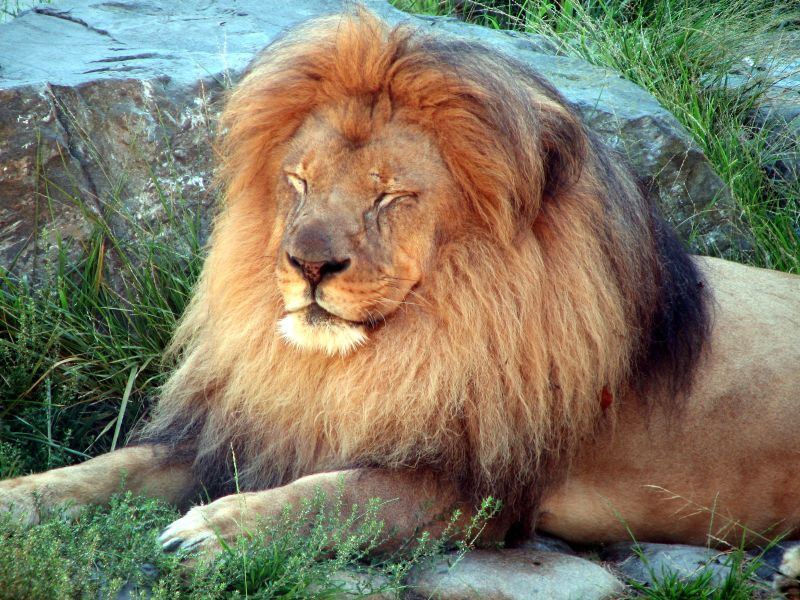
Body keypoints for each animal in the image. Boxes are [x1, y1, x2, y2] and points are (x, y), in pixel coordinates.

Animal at [1, 9, 800, 560]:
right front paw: (17, 498)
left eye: (389, 197)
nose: (306, 263)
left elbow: (332, 497)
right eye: (300, 181)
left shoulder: (473, 493)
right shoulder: (244, 429)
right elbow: (107, 468)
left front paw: (216, 531)